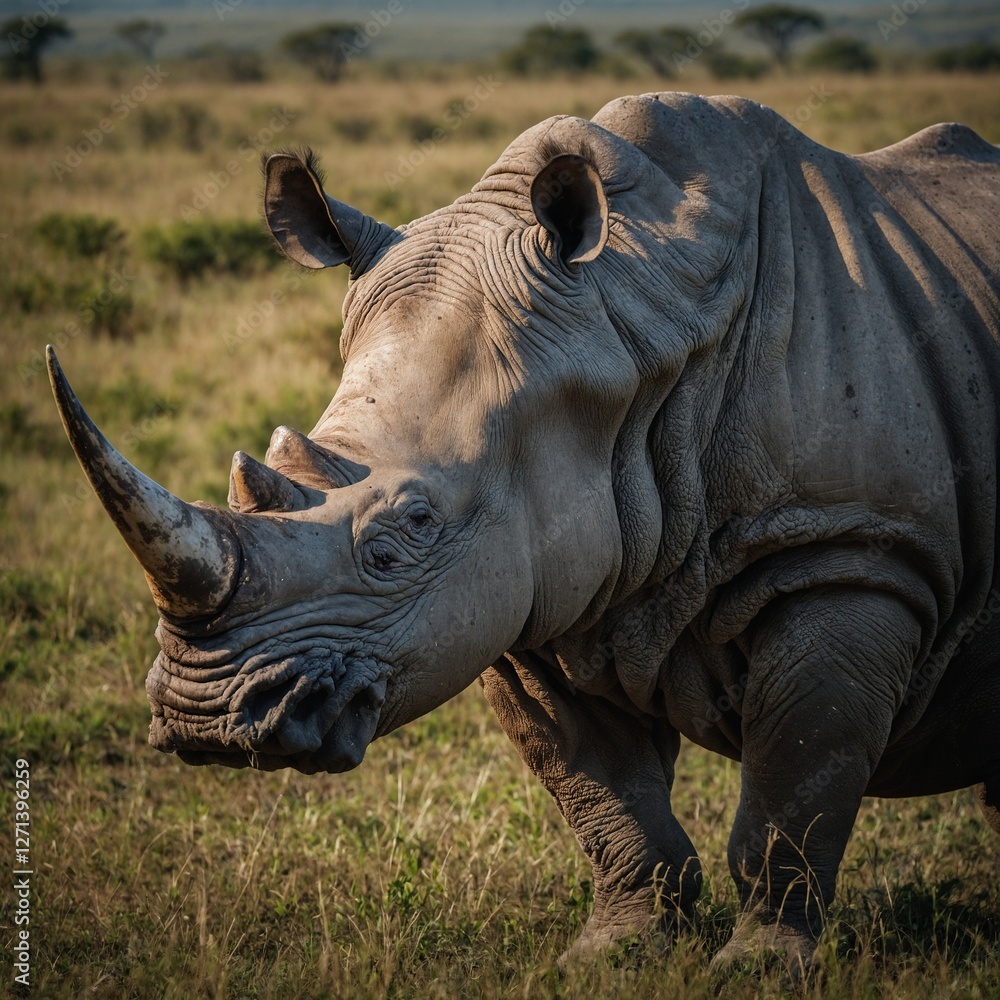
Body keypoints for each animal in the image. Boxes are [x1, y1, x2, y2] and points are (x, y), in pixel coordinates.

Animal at [49, 91, 1000, 974]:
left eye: (405, 534)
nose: (203, 716)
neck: (623, 333)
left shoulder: (854, 556)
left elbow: (795, 785)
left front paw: (760, 970)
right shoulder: (527, 581)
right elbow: (601, 796)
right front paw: (613, 954)